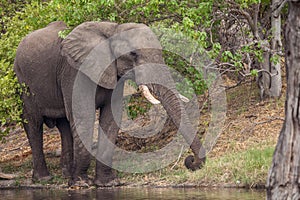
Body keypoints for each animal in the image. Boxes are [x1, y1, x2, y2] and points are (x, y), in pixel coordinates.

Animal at [14, 21, 206, 187]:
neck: (113, 29)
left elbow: (111, 118)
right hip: (23, 79)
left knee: (64, 126)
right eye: (133, 54)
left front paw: (108, 183)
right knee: (33, 123)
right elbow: (84, 115)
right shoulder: (74, 72)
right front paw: (82, 184)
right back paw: (44, 179)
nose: (190, 161)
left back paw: (66, 174)